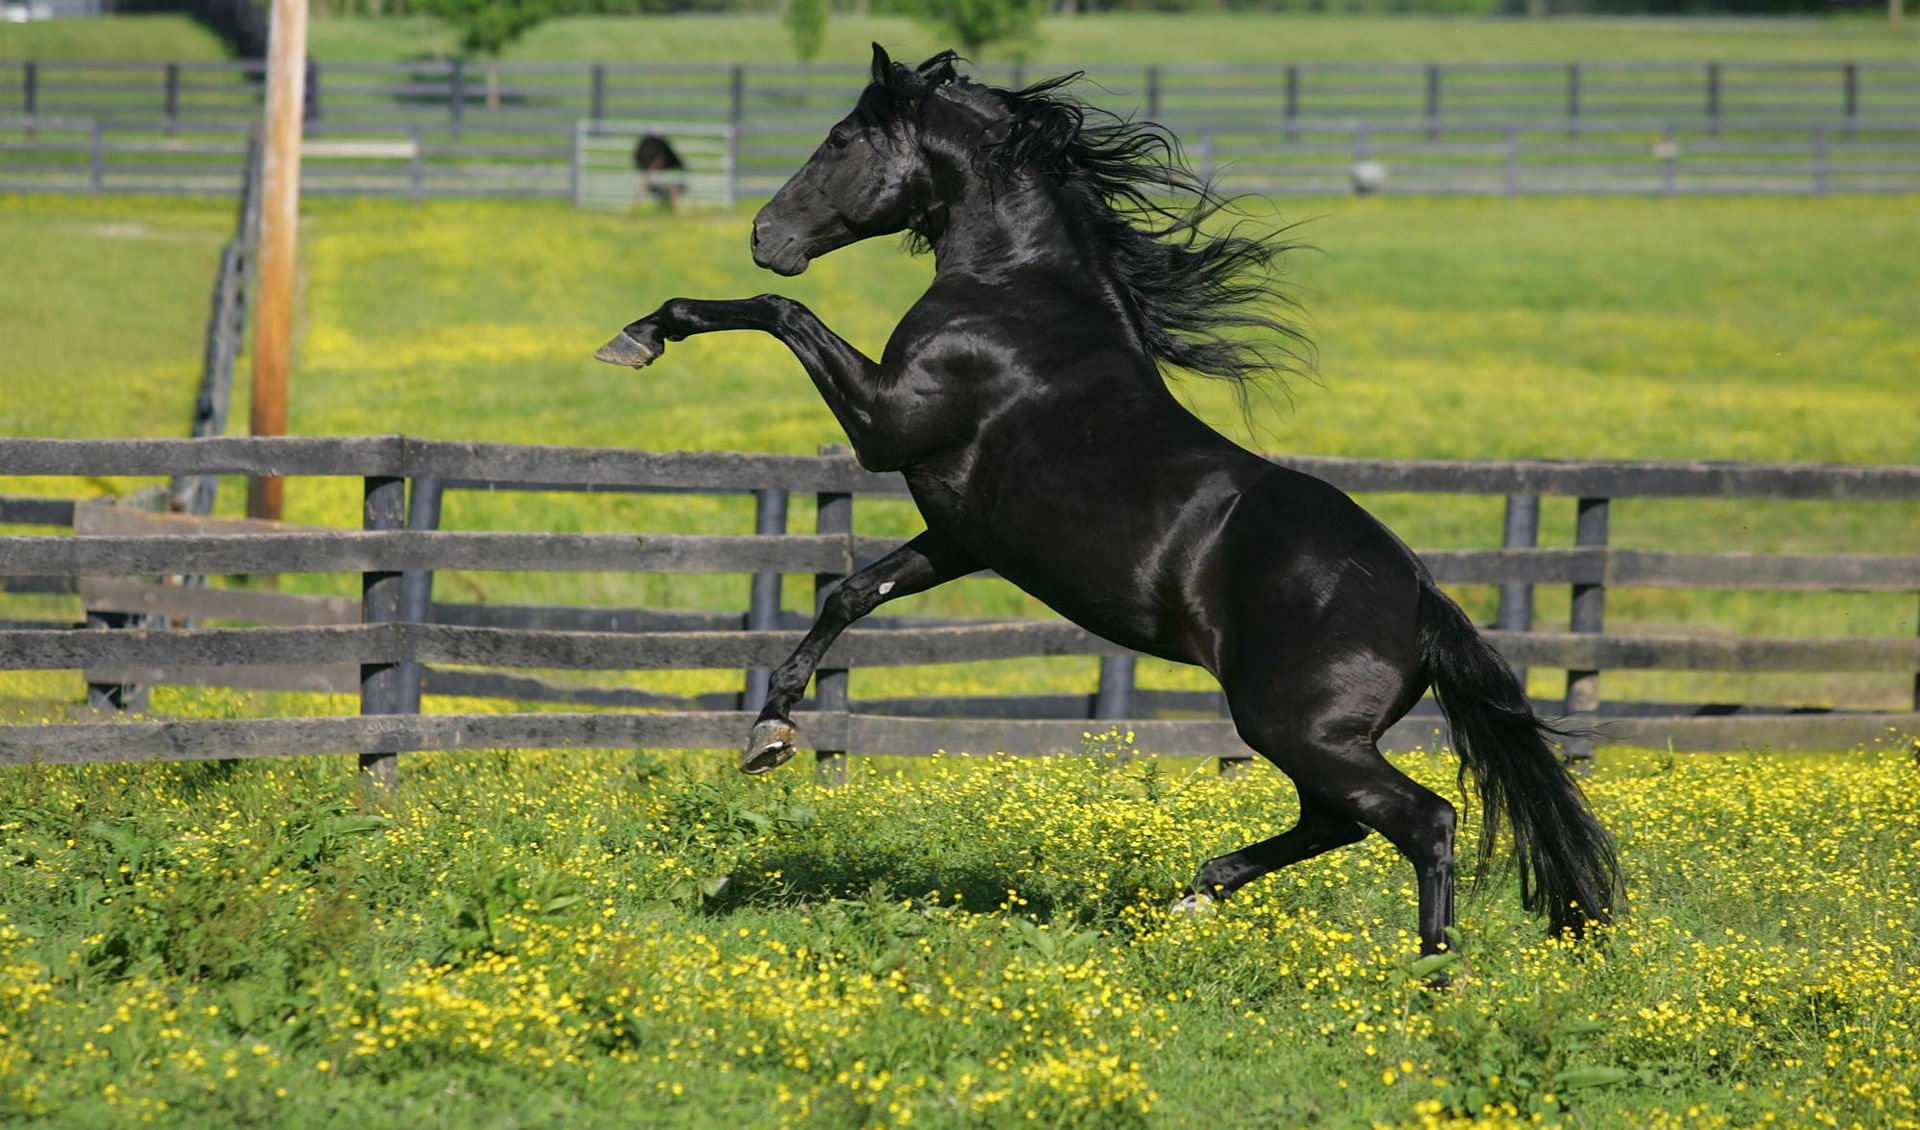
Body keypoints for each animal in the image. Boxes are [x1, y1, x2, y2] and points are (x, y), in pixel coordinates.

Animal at [594, 45, 1620, 955]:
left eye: (843, 137)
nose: (764, 236)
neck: (1016, 295)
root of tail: (1420, 597)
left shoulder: (885, 425)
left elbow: (781, 316)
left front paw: (641, 334)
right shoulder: (960, 535)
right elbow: (850, 592)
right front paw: (769, 729)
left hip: (1298, 728)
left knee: (1422, 820)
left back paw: (1432, 978)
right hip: (1311, 737)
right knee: (1338, 823)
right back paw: (1200, 893)